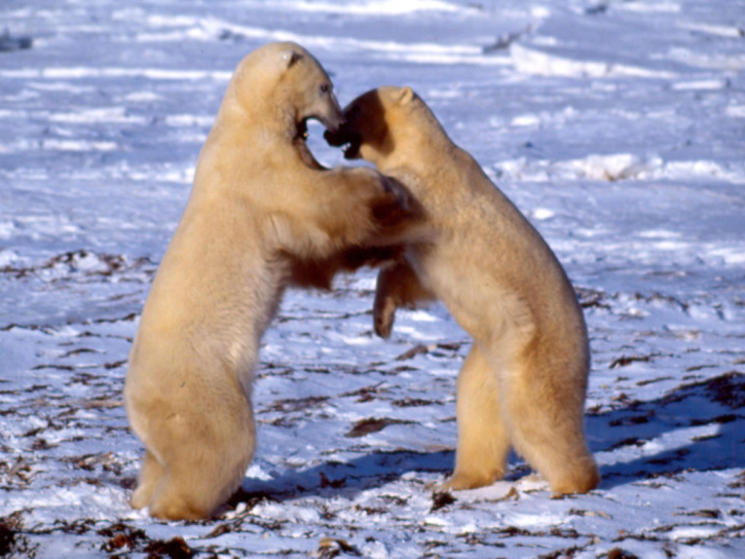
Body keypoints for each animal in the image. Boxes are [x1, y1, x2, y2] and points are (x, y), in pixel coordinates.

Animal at [123, 45, 415, 520]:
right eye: (326, 86)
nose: (338, 125)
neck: (246, 118)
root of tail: (134, 406)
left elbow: (314, 256)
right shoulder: (262, 173)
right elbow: (320, 202)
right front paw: (387, 186)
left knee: (159, 460)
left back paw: (144, 495)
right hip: (201, 385)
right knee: (222, 442)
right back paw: (188, 505)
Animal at [325, 86, 600, 495]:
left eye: (354, 107)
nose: (329, 133)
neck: (424, 152)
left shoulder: (425, 195)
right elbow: (410, 276)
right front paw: (381, 321)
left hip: (532, 354)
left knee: (536, 418)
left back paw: (558, 481)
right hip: (489, 359)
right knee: (476, 407)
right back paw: (459, 479)